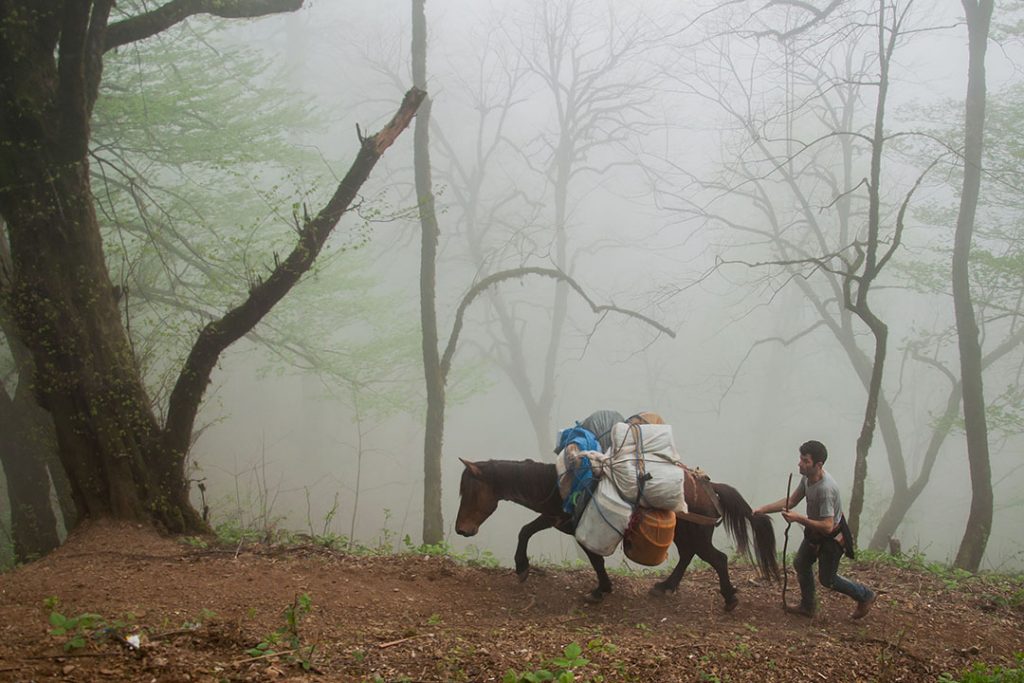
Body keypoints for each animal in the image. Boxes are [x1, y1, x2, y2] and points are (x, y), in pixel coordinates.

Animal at [456, 458, 774, 610]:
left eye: (469, 491)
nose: (462, 529)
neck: (562, 484)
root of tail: (710, 488)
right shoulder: (556, 517)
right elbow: (526, 531)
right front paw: (522, 566)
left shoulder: (581, 529)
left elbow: (595, 559)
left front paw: (600, 590)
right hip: (686, 535)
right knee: (688, 556)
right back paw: (665, 587)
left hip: (695, 534)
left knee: (717, 559)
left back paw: (729, 599)